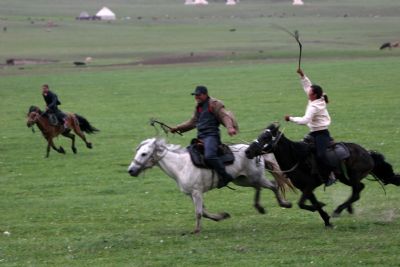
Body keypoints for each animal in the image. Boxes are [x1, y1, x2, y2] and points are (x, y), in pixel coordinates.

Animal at [129, 138, 294, 234]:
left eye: (144, 154)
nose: (131, 170)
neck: (181, 166)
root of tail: (254, 150)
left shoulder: (196, 192)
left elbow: (199, 212)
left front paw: (196, 230)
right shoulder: (192, 194)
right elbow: (204, 212)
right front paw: (221, 216)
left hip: (255, 177)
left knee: (273, 185)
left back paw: (284, 203)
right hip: (243, 180)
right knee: (259, 188)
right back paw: (259, 207)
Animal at [244, 123, 400, 228]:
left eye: (266, 137)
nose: (248, 151)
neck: (297, 158)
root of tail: (367, 153)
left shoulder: (310, 186)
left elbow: (302, 204)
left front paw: (324, 210)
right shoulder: (305, 189)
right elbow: (310, 204)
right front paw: (326, 220)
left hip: (353, 176)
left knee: (357, 191)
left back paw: (339, 210)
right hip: (345, 178)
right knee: (358, 189)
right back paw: (347, 208)